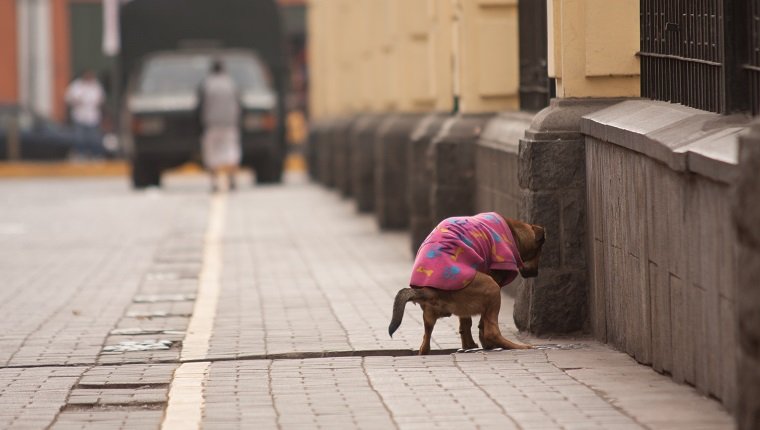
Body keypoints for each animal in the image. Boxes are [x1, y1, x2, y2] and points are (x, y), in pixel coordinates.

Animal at [388, 212, 544, 356]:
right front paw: (484, 342)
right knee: (491, 332)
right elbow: (481, 324)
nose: (535, 273)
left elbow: (466, 323)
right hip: (491, 286)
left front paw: (471, 344)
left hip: (429, 316)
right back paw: (517, 346)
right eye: (538, 251)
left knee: (425, 344)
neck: (513, 231)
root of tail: (430, 291)